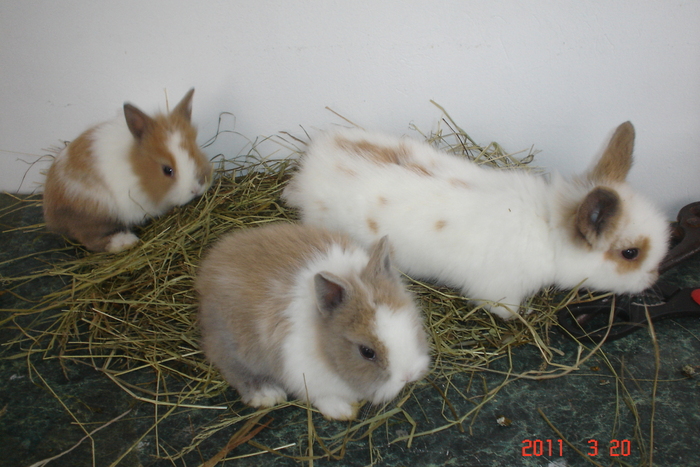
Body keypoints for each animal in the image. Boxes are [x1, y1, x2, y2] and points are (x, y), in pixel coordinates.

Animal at [42, 89, 212, 254]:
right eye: (167, 170)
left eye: (196, 151)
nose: (196, 189)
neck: (138, 171)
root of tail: (51, 215)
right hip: (95, 214)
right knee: (91, 241)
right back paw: (125, 241)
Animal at [194, 222, 430, 420]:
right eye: (366, 352)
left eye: (412, 325)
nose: (407, 376)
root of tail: (207, 270)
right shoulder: (303, 373)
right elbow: (321, 396)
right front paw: (342, 411)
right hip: (233, 343)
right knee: (229, 363)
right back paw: (266, 393)